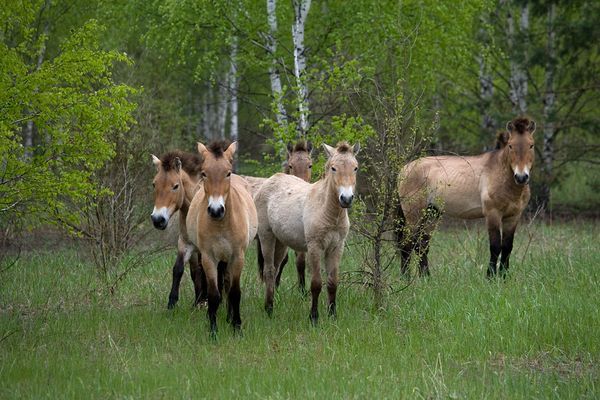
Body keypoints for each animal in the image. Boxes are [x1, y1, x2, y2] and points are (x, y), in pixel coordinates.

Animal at [149, 150, 206, 310]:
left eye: (175, 186)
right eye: (154, 184)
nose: (158, 219)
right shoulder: (185, 244)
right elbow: (179, 269)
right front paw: (172, 303)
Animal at [185, 142, 255, 336]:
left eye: (227, 173)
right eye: (204, 173)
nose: (216, 210)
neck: (222, 224)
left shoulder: (237, 257)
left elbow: (235, 292)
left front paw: (237, 327)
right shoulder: (209, 258)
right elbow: (214, 295)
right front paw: (213, 330)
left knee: (229, 284)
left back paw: (230, 318)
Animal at [254, 142, 358, 324]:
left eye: (355, 168)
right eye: (333, 168)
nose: (346, 199)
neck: (327, 210)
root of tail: (270, 180)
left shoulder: (337, 247)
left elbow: (333, 283)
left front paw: (332, 316)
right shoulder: (315, 247)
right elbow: (316, 283)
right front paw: (314, 318)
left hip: (281, 243)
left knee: (275, 269)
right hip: (267, 237)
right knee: (269, 271)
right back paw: (269, 309)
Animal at [396, 117, 536, 276]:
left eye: (531, 145)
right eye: (511, 146)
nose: (521, 177)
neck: (501, 175)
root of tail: (403, 170)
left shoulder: (513, 217)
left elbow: (507, 248)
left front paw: (504, 277)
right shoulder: (492, 214)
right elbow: (495, 247)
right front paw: (491, 277)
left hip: (432, 213)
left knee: (422, 245)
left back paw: (426, 277)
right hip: (414, 216)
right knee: (407, 245)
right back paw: (406, 278)